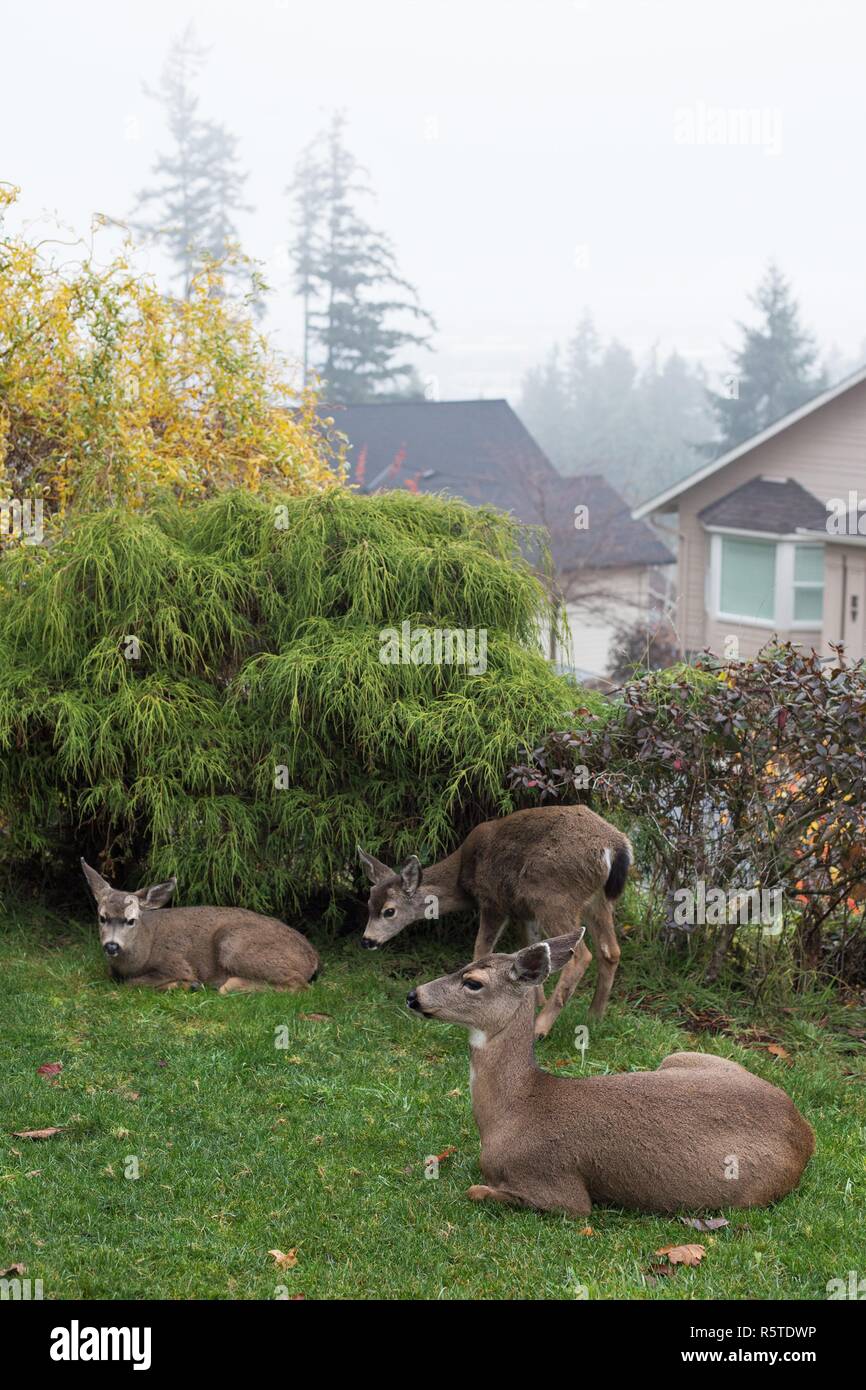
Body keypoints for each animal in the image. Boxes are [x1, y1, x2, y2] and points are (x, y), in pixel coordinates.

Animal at [80, 856, 318, 989]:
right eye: (102, 917)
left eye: (131, 920)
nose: (112, 946)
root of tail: (314, 959)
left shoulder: (176, 963)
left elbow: (134, 983)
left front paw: (187, 984)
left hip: (233, 943)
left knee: (299, 985)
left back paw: (230, 985)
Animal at [355, 800, 633, 1039]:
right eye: (368, 904)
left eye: (389, 911)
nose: (367, 940)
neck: (463, 876)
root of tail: (614, 847)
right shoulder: (524, 912)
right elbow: (533, 948)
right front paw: (533, 1001)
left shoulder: (493, 902)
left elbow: (481, 949)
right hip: (595, 900)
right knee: (611, 951)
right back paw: (594, 1017)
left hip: (553, 897)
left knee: (581, 956)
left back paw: (541, 1028)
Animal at [408, 934, 817, 1217]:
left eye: (473, 982)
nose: (414, 995)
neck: (511, 1112)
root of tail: (805, 1133)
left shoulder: (559, 1188)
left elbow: (477, 1191)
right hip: (678, 1056)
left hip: (750, 1193)